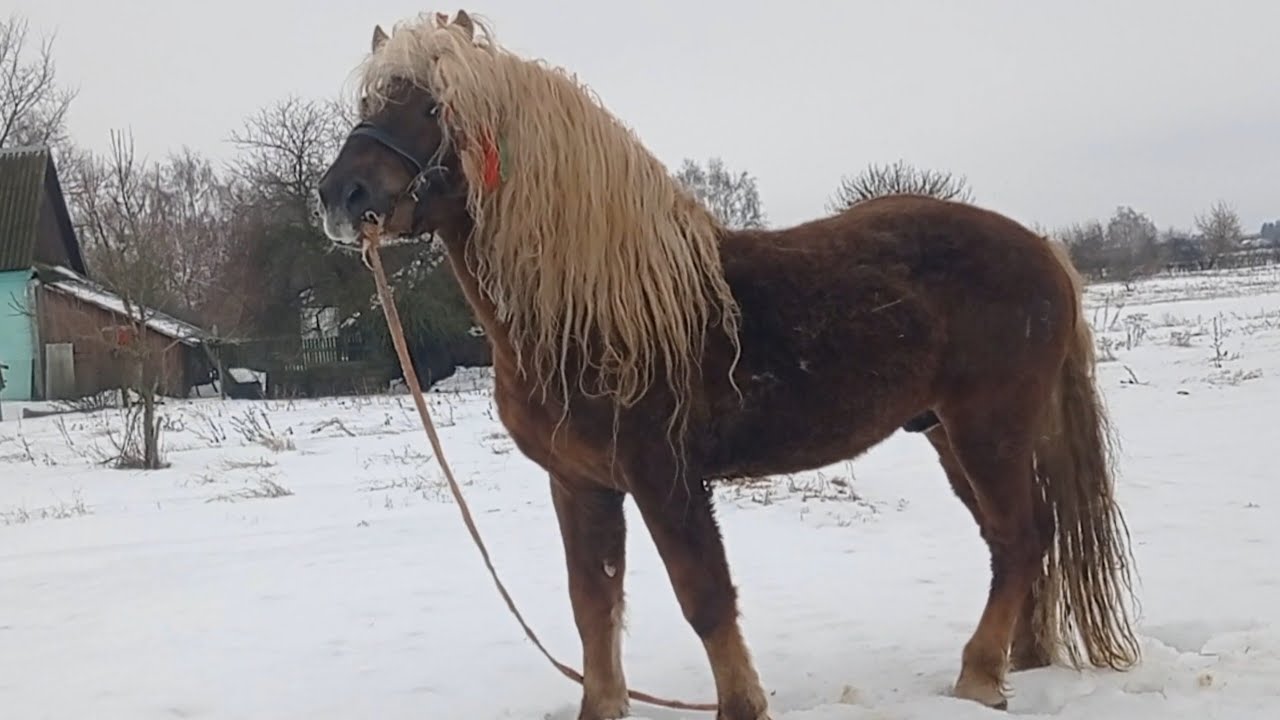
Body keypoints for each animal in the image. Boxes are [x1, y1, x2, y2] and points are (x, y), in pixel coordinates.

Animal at [315, 12, 1141, 720]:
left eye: (433, 105)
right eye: (369, 99)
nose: (340, 195)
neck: (590, 309)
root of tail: (1043, 250)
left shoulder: (667, 477)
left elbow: (703, 596)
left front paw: (743, 704)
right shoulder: (580, 483)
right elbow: (593, 606)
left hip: (986, 427)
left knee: (1020, 537)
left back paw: (978, 675)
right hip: (945, 432)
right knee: (1020, 540)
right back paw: (1019, 665)